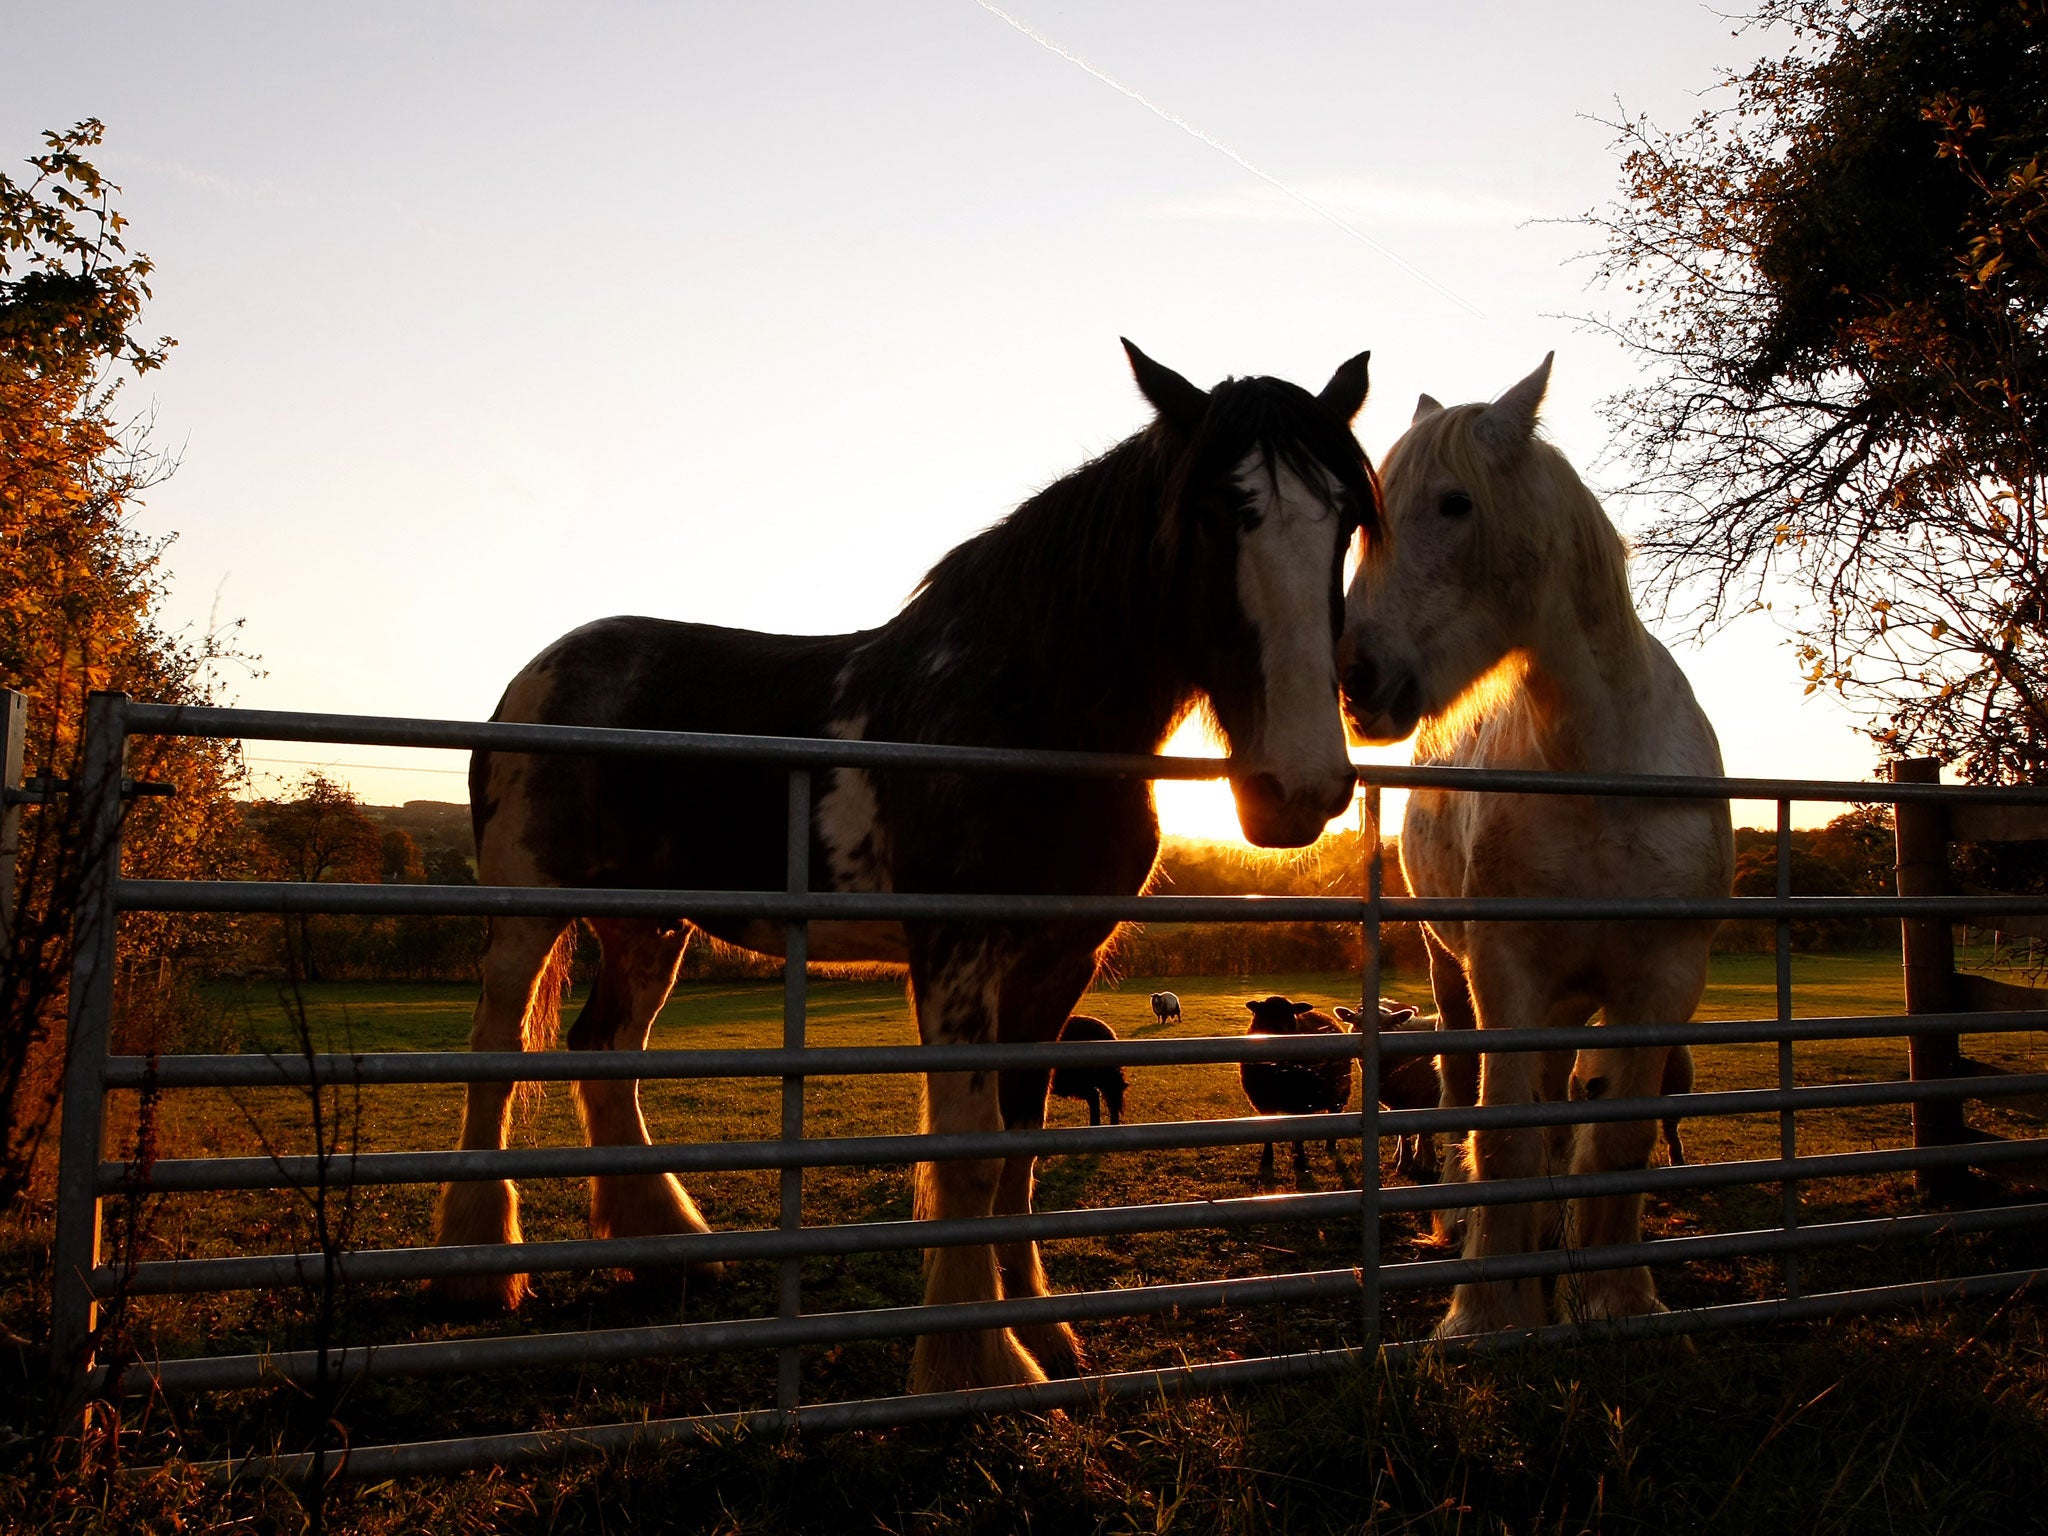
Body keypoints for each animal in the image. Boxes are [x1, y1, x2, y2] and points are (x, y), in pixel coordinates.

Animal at [1236, 991, 1351, 1196]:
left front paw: (1300, 1162)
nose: (1281, 1032)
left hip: (1339, 1092)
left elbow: (1299, 1135)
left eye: (1290, 1014)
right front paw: (1267, 1160)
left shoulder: (1301, 1102)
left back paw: (1329, 1145)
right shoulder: (1264, 1102)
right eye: (1263, 1013)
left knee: (1334, 1114)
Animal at [1343, 358, 1728, 1335]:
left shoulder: (1663, 979)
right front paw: (1488, 1312)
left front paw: (1617, 1296)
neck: (1600, 773)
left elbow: (1617, 1139)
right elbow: (1504, 1138)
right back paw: (1460, 1229)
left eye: (1455, 504)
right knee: (1459, 1088)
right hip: (1454, 977)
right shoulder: (1506, 970)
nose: (1356, 677)